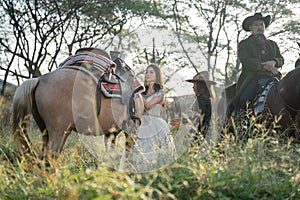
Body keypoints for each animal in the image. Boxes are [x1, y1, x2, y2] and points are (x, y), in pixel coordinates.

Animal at [12, 47, 146, 166]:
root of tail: (39, 79)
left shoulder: (111, 132)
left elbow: (110, 155)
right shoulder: (132, 129)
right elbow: (127, 157)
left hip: (47, 131)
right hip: (58, 131)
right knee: (50, 159)